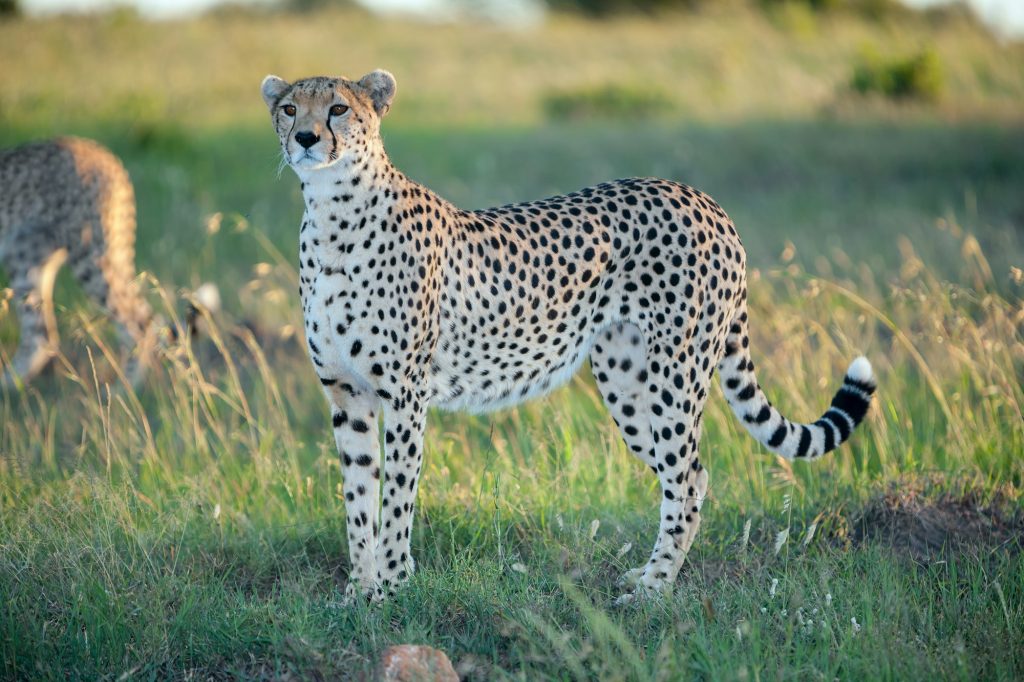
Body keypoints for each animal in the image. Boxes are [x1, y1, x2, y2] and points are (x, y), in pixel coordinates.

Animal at [0, 137, 155, 388]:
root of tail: (100, 151)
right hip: (24, 255)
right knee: (40, 335)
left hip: (91, 256)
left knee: (139, 322)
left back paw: (125, 390)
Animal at [261, 69, 877, 605]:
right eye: (290, 108)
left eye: (339, 108)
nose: (307, 138)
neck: (333, 214)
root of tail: (700, 198)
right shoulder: (348, 395)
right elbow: (357, 500)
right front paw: (358, 592)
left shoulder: (407, 395)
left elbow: (395, 500)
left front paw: (391, 587)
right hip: (628, 388)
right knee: (690, 476)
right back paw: (650, 574)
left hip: (675, 378)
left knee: (686, 479)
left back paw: (654, 591)